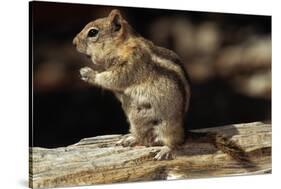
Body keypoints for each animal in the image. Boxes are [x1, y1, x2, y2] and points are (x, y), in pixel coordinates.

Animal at [72, 9, 249, 162]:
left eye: (92, 32)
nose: (73, 43)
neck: (122, 46)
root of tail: (184, 133)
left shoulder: (132, 63)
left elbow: (113, 79)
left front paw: (88, 73)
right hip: (135, 121)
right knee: (142, 138)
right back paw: (129, 139)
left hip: (167, 126)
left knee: (174, 143)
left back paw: (165, 150)